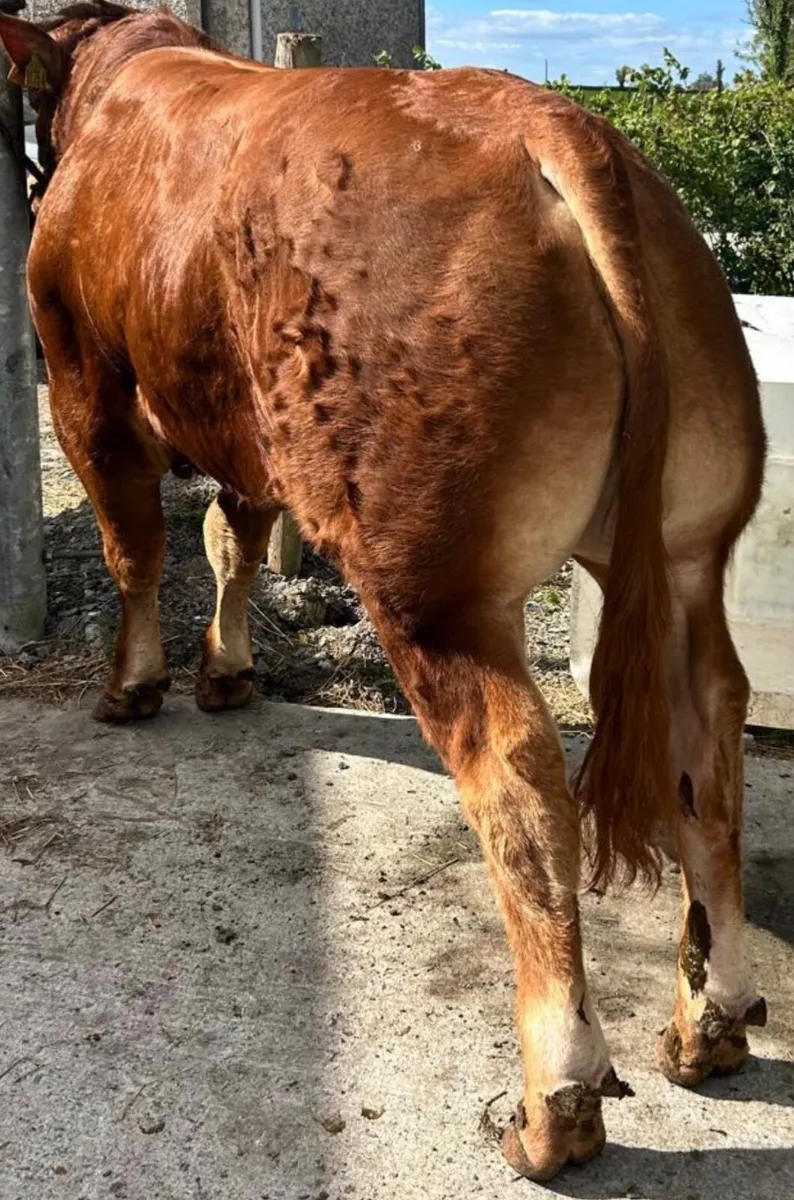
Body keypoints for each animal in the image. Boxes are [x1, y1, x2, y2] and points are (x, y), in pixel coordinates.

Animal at [0, 3, 768, 1181]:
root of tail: (551, 122)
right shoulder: (239, 418)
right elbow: (234, 537)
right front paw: (227, 671)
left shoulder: (84, 375)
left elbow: (138, 545)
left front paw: (133, 686)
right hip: (690, 548)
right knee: (706, 728)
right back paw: (710, 1024)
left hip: (431, 578)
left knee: (518, 775)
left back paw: (555, 1107)